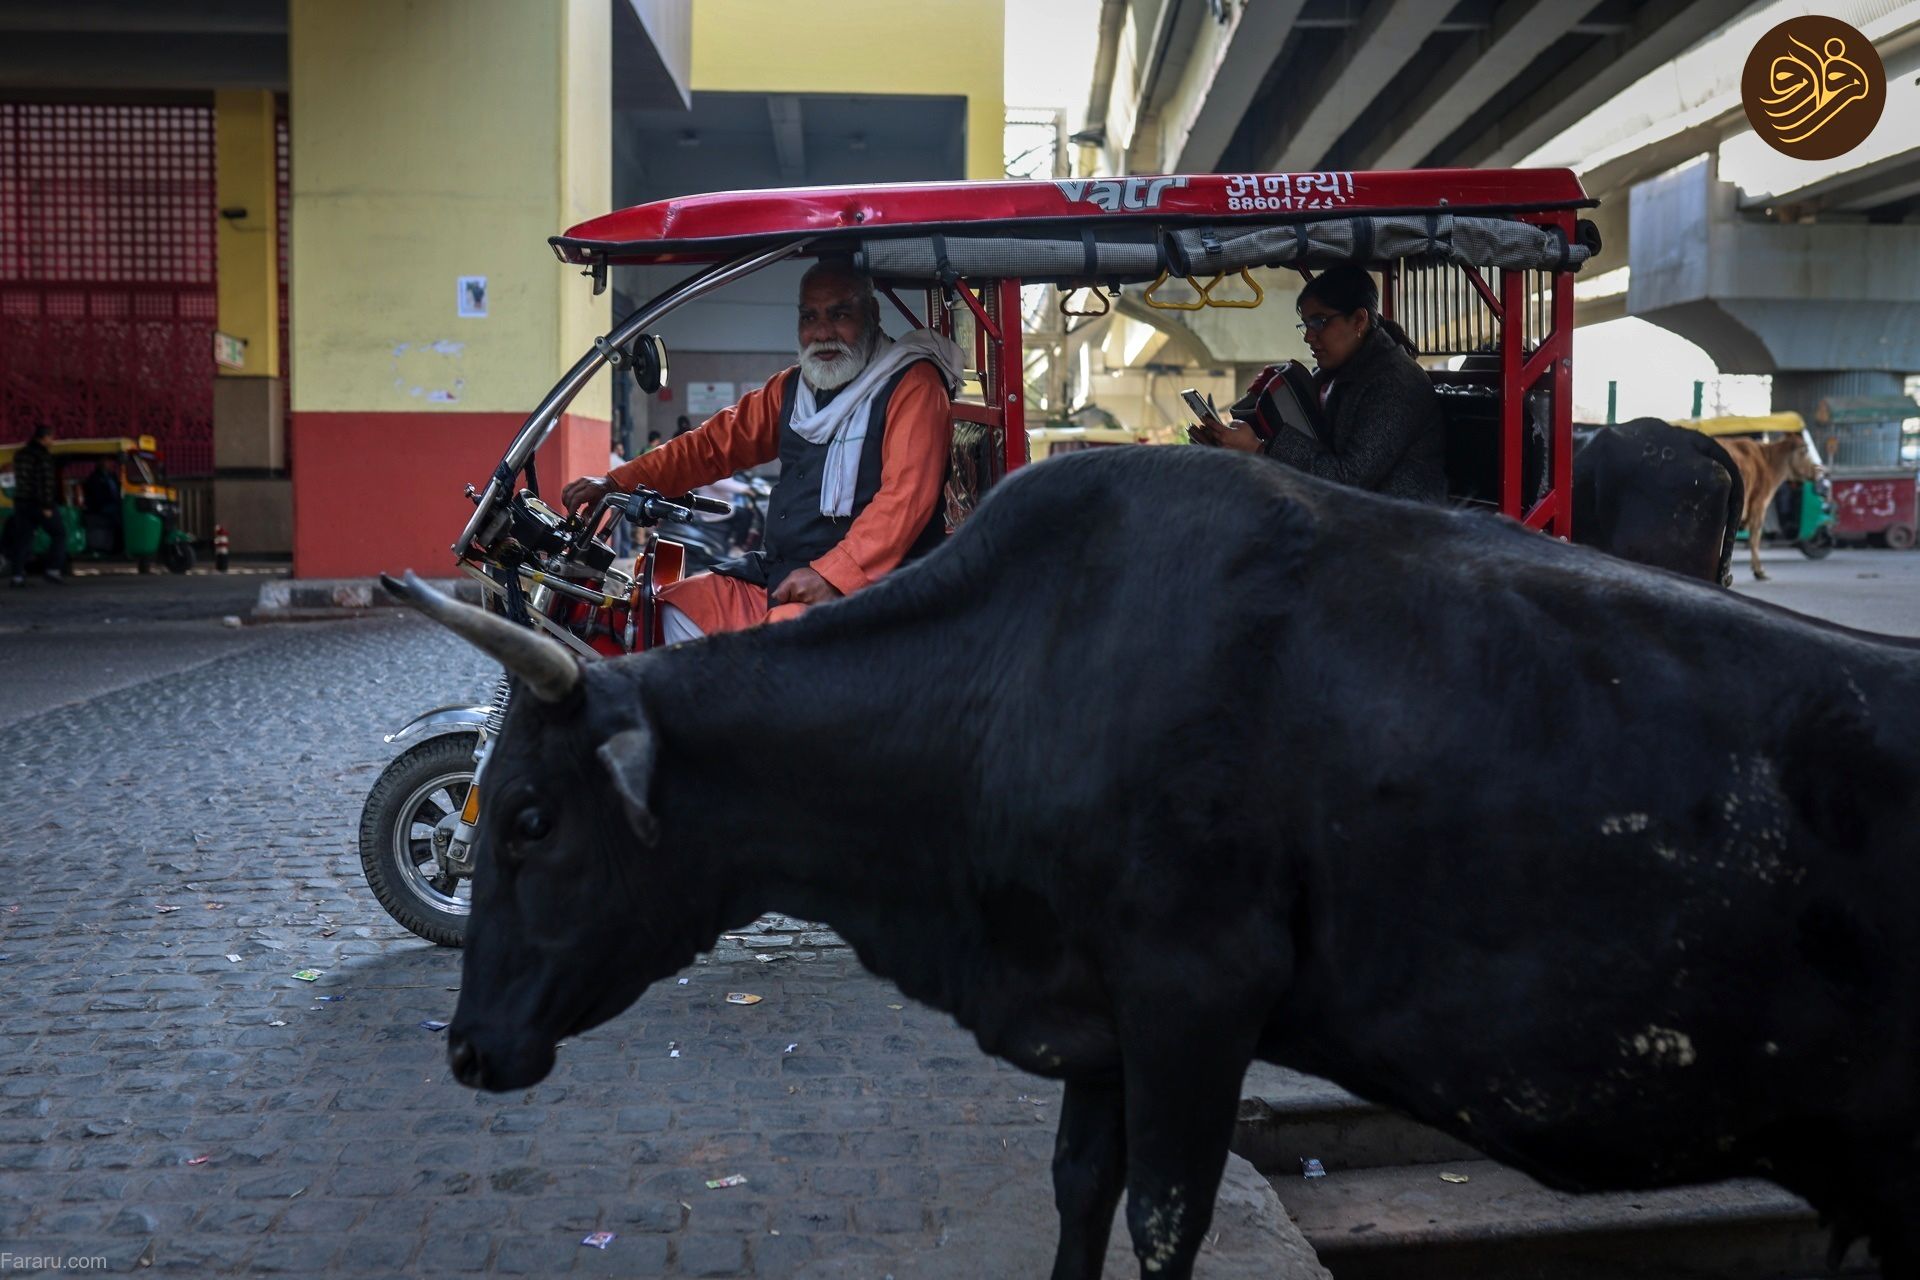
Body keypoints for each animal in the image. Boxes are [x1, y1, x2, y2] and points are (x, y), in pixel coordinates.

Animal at [382, 443, 1920, 1280]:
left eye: (530, 818)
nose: (464, 1049)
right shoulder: (1100, 1017)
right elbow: (1079, 1194)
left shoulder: (1195, 1000)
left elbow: (1166, 1218)